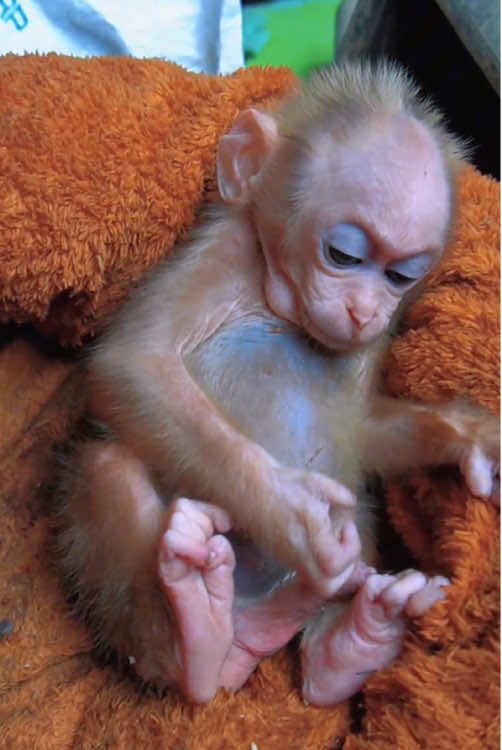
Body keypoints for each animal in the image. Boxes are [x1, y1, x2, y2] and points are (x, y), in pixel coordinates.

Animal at [55, 60, 499, 706]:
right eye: (343, 255)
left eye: (400, 276)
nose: (366, 311)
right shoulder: (223, 250)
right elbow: (132, 363)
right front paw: (286, 509)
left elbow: (364, 433)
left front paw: (468, 436)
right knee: (110, 469)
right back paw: (194, 637)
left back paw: (346, 643)